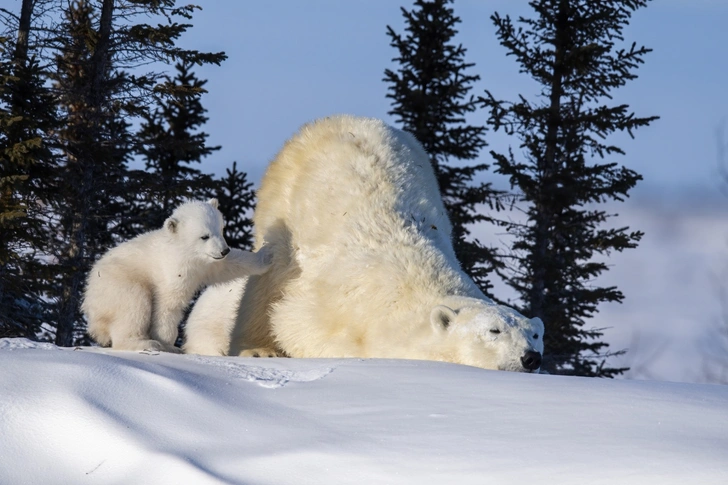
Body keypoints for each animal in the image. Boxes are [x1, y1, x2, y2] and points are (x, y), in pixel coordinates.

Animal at [230, 116, 544, 370]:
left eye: (535, 334)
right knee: (264, 287)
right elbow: (295, 325)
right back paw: (256, 349)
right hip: (282, 208)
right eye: (494, 331)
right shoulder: (332, 308)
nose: (531, 358)